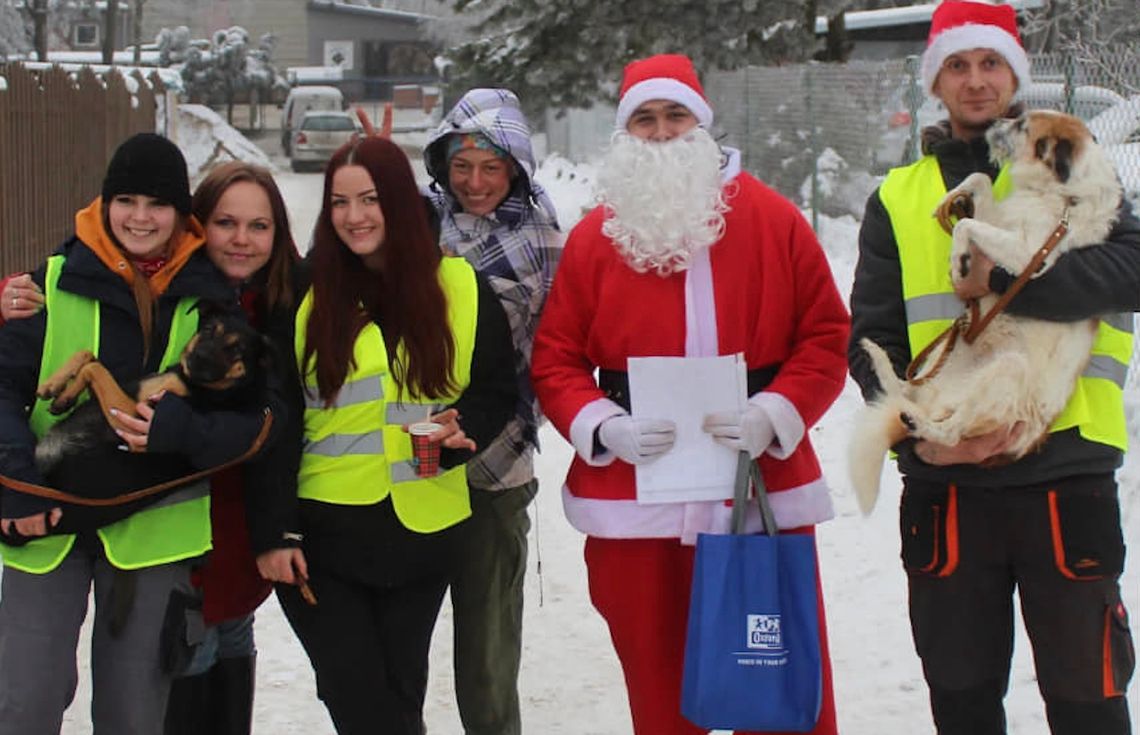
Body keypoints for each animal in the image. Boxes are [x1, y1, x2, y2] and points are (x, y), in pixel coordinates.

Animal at [857, 108, 1121, 512]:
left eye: (1022, 126)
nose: (996, 121)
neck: (1061, 195)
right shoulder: (1000, 222)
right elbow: (979, 184)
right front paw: (952, 199)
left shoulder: (1029, 255)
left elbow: (966, 224)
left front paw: (957, 261)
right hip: (942, 364)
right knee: (906, 388)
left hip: (1007, 371)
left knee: (949, 433)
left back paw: (923, 425)